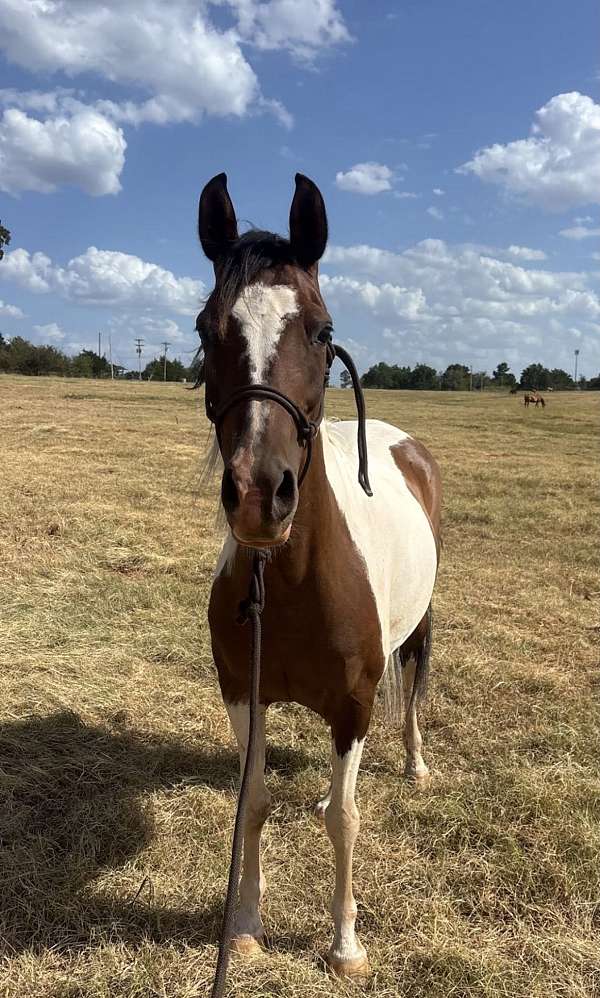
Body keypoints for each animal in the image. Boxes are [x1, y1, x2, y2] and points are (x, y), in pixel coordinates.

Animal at [196, 173, 441, 979]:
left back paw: (416, 763)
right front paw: (244, 923)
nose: (257, 494)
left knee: (413, 688)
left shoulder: (354, 707)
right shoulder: (243, 692)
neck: (297, 583)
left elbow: (345, 818)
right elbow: (254, 803)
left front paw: (345, 943)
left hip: (416, 633)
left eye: (323, 331)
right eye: (206, 329)